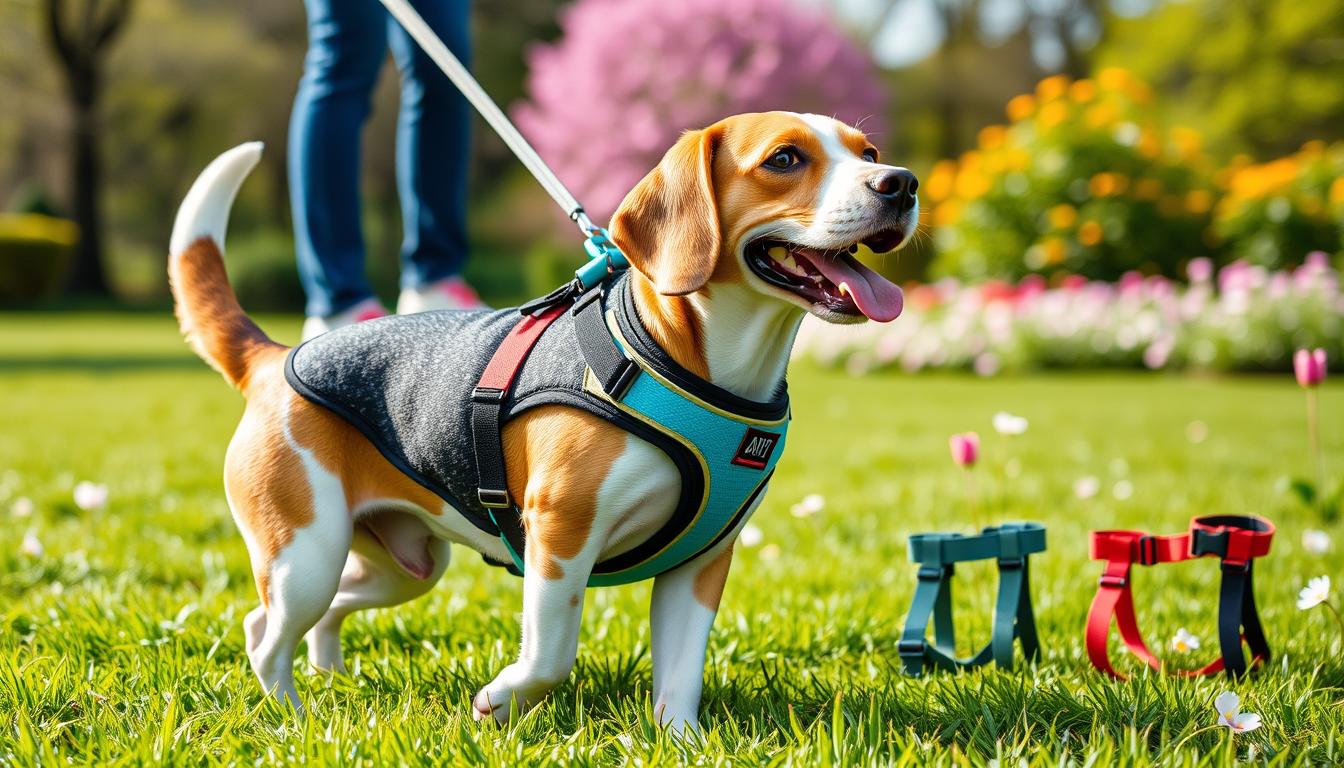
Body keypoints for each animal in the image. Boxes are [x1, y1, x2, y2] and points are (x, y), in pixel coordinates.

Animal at [170, 110, 913, 731]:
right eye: (785, 158)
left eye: (869, 153)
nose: (901, 183)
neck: (697, 366)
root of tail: (273, 358)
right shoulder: (560, 536)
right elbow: (550, 654)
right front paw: (501, 700)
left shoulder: (701, 562)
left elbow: (680, 675)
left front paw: (681, 742)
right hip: (308, 553)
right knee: (267, 639)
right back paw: (293, 716)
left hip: (401, 564)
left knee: (289, 618)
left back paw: (325, 674)